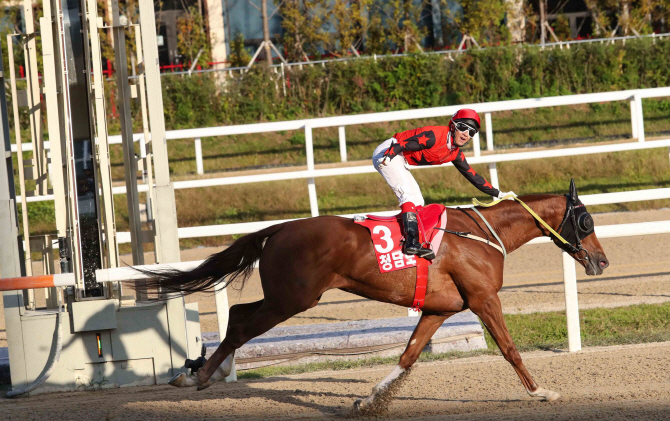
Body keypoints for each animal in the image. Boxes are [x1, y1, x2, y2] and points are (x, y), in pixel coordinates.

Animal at [144, 179, 612, 412]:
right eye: (586, 221)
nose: (602, 261)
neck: (483, 235)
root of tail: (278, 229)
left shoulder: (440, 309)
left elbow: (408, 355)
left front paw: (370, 400)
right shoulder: (483, 299)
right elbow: (510, 349)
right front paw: (541, 392)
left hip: (287, 298)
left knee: (239, 314)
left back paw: (198, 370)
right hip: (293, 299)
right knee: (241, 323)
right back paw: (198, 376)